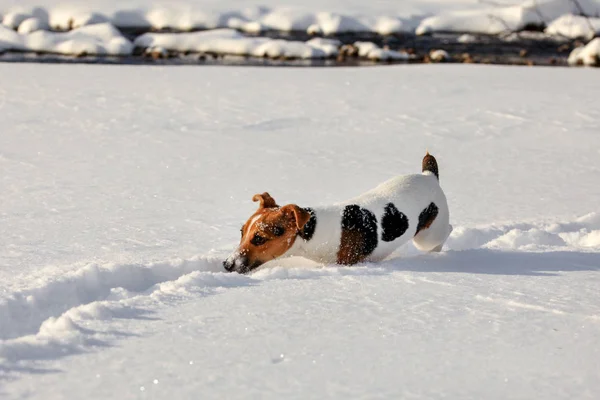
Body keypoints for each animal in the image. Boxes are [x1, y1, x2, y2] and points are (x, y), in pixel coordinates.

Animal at [224, 152, 450, 274]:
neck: (313, 234)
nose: (226, 264)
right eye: (241, 233)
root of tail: (429, 175)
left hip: (428, 236)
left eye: (259, 238)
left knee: (446, 231)